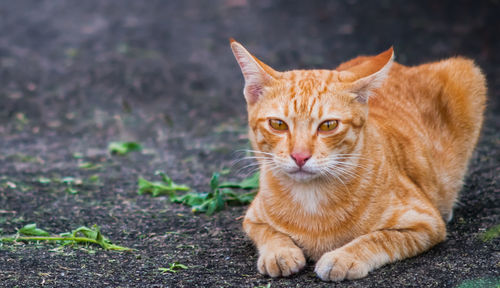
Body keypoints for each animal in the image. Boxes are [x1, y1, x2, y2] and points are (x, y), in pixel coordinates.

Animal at [230, 38, 484, 282]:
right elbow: (270, 233)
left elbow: (378, 238)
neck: (311, 198)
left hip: (467, 74)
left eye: (328, 125)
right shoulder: (252, 219)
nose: (300, 156)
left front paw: (343, 257)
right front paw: (280, 252)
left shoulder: (425, 222)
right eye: (278, 124)